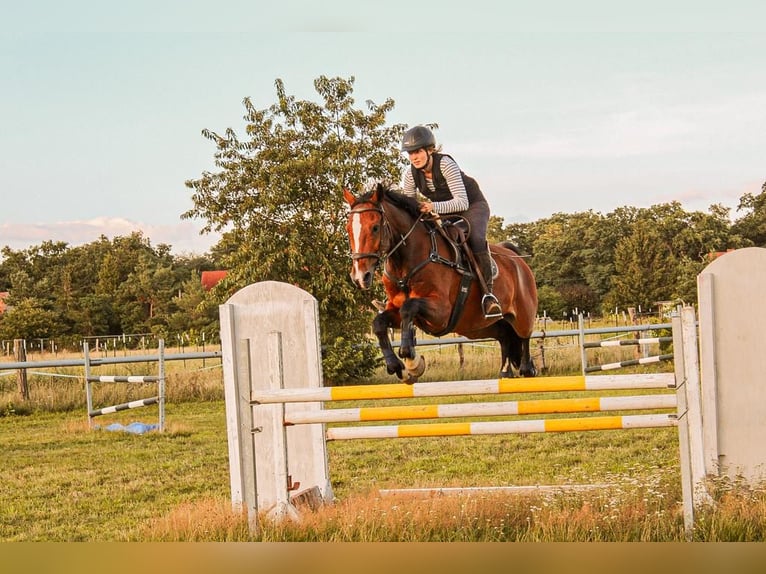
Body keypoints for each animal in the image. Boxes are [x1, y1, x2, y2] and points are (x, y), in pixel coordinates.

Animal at [344, 182, 536, 384]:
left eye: (374, 228)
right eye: (348, 229)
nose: (360, 277)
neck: (405, 264)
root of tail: (518, 260)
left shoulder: (442, 312)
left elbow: (409, 308)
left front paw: (412, 361)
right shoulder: (395, 311)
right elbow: (379, 323)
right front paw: (396, 366)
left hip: (522, 316)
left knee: (524, 337)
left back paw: (527, 368)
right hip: (482, 326)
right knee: (505, 337)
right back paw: (505, 372)